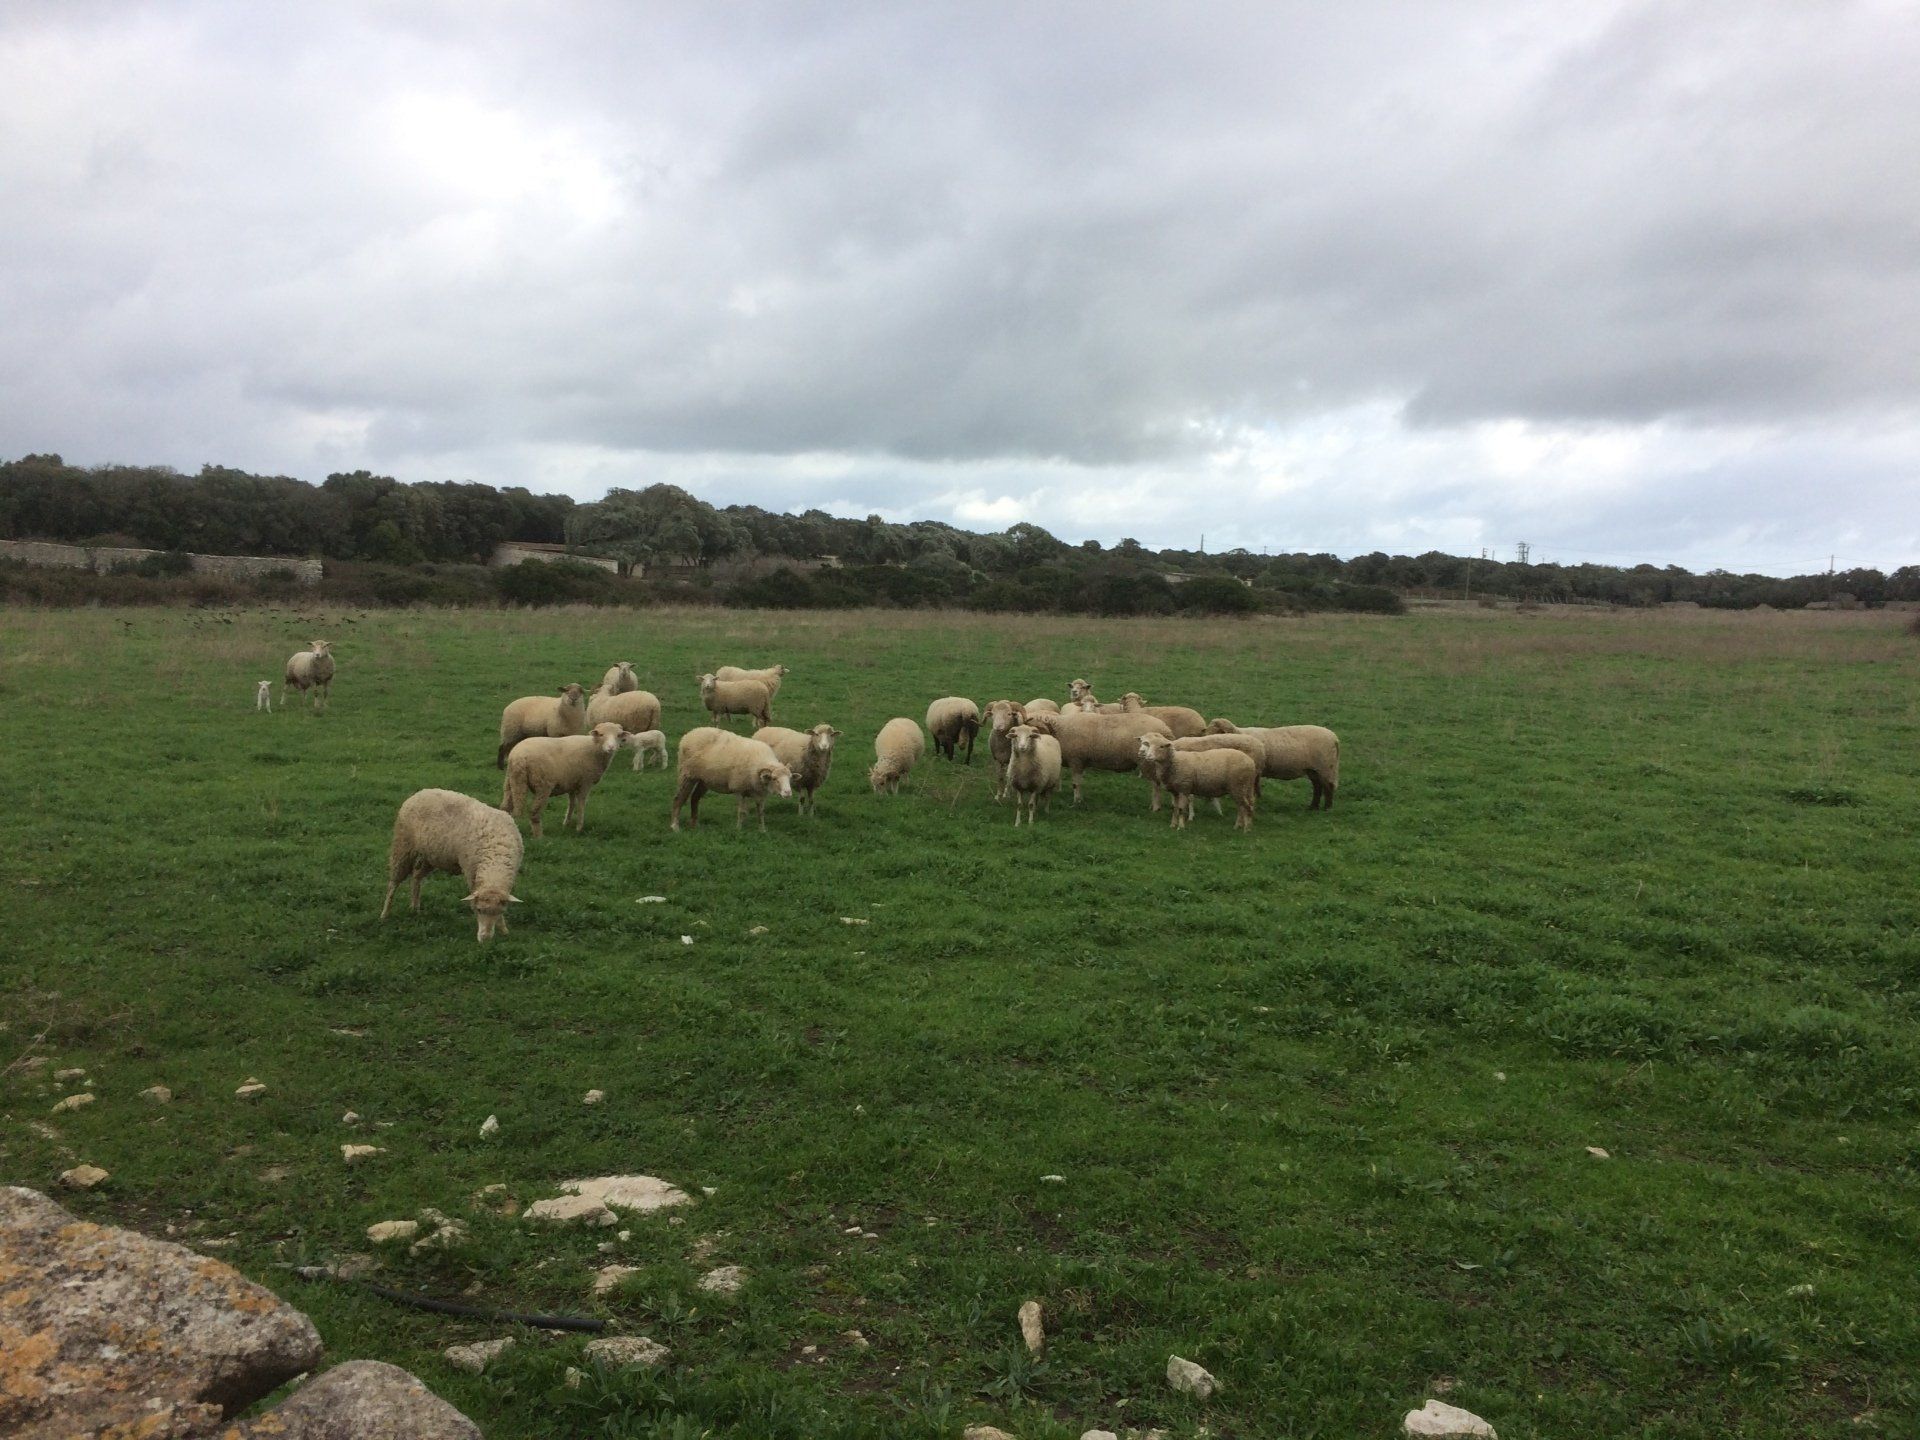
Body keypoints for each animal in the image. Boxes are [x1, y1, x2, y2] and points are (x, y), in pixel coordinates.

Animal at [381, 787, 524, 942]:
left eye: (500, 911)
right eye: (479, 909)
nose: (485, 939)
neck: (495, 858)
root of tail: (422, 791)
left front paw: (503, 930)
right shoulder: (471, 872)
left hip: (431, 855)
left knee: (416, 876)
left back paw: (415, 908)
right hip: (403, 846)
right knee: (393, 883)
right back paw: (385, 914)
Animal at [501, 721, 634, 837]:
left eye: (618, 735)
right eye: (601, 735)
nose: (611, 747)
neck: (594, 748)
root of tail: (519, 757)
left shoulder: (572, 783)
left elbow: (572, 803)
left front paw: (566, 823)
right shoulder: (585, 782)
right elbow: (581, 804)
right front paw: (579, 827)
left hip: (511, 780)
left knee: (505, 807)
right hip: (542, 785)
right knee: (533, 812)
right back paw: (539, 836)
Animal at [1027, 709, 1173, 804]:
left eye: (1034, 731)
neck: (1060, 731)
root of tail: (1166, 730)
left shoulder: (1076, 760)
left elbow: (1076, 783)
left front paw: (1077, 801)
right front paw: (1079, 799)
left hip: (1148, 762)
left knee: (1156, 785)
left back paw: (1155, 807)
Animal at [1207, 719, 1342, 809]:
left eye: (1218, 732)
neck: (1239, 735)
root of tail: (1334, 738)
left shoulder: (1255, 767)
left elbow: (1254, 784)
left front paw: (1256, 796)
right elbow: (1256, 783)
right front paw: (1259, 796)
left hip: (1326, 766)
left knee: (1328, 786)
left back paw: (1327, 808)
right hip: (1313, 769)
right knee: (1317, 786)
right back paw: (1313, 806)